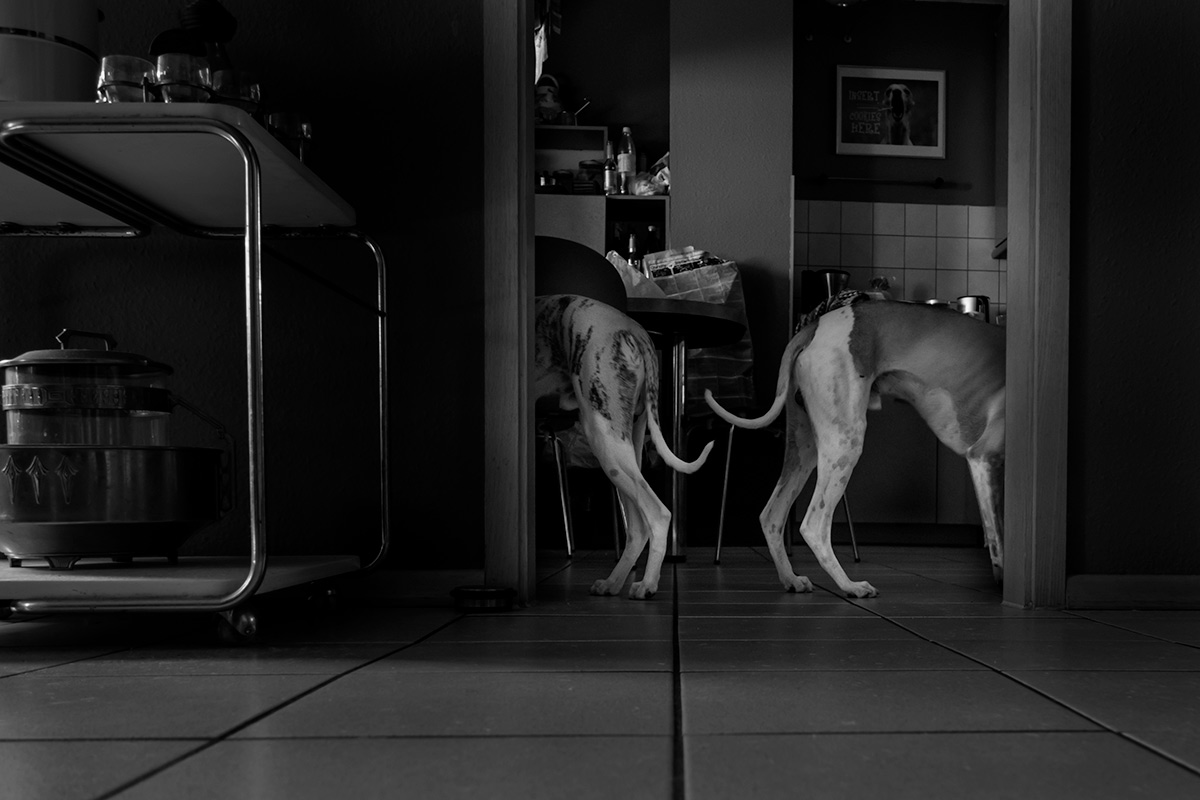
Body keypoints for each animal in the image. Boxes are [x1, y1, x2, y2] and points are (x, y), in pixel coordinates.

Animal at [534, 294, 714, 600]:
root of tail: (636, 329)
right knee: (638, 527)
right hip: (628, 443)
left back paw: (647, 585)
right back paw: (613, 582)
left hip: (603, 436)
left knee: (658, 514)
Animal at [705, 295, 1005, 598]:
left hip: (805, 445)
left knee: (771, 515)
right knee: (814, 525)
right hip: (845, 441)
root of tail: (814, 325)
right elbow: (998, 538)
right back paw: (850, 585)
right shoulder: (984, 457)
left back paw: (791, 579)